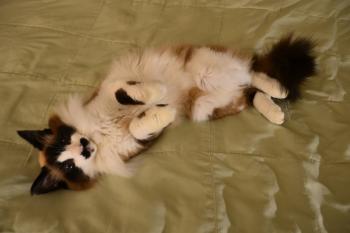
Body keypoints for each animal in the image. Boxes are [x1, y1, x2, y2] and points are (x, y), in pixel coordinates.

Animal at [17, 34, 316, 195]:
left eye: (65, 141)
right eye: (68, 166)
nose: (85, 148)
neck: (99, 134)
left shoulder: (113, 86)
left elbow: (127, 92)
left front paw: (153, 93)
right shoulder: (138, 142)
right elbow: (140, 124)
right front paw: (163, 112)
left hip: (208, 66)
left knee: (254, 72)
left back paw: (277, 90)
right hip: (206, 107)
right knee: (252, 91)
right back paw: (275, 109)